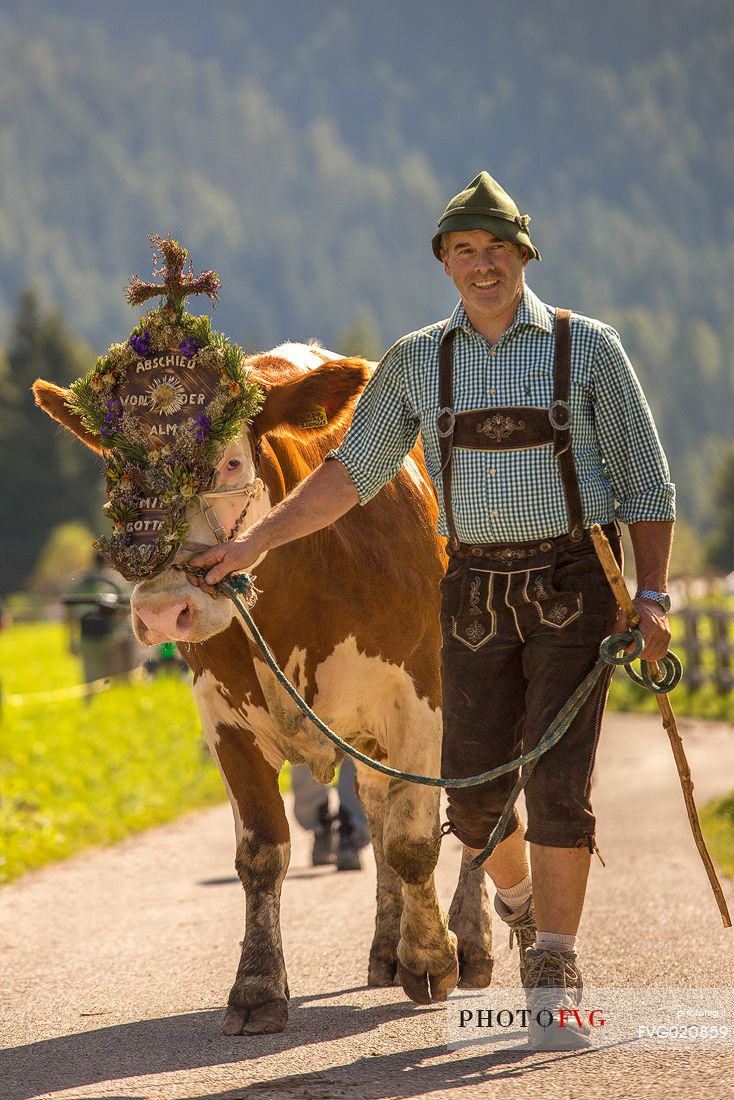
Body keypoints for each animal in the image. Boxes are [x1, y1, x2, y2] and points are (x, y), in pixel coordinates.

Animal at [34, 236, 493, 1034]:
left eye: (227, 459)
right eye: (118, 472)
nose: (165, 612)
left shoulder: (421, 699)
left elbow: (414, 839)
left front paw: (432, 959)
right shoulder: (223, 718)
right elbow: (262, 852)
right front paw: (255, 988)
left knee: (479, 811)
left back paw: (474, 941)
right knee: (375, 811)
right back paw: (384, 947)